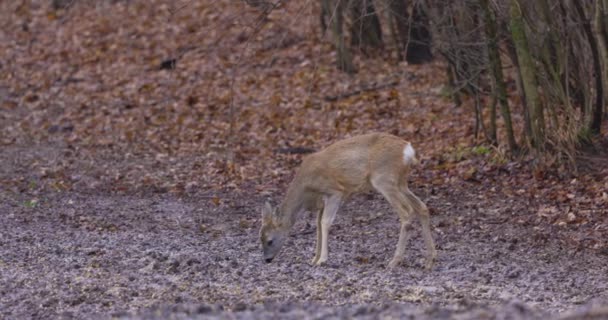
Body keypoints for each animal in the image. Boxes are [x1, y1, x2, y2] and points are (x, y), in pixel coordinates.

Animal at [258, 132, 434, 270]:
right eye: (260, 238)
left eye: (270, 240)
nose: (267, 259)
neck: (306, 190)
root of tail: (408, 151)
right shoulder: (322, 202)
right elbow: (317, 225)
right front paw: (314, 258)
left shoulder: (335, 191)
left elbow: (325, 223)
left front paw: (322, 260)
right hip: (400, 182)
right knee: (422, 207)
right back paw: (430, 259)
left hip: (384, 179)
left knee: (407, 212)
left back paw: (394, 261)